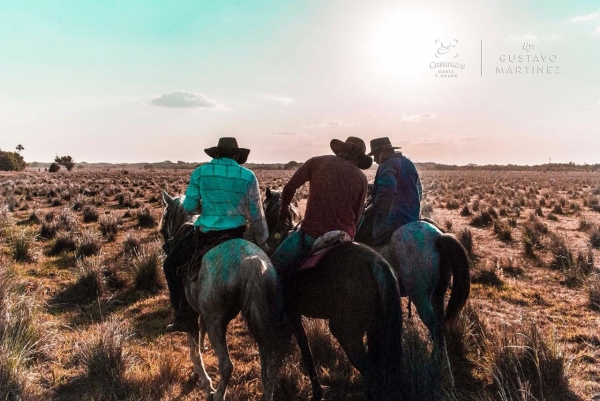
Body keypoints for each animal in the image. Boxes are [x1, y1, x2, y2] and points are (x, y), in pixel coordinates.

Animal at [159, 191, 290, 400]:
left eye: (164, 218)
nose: (165, 245)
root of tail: (250, 262)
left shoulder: (192, 314)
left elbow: (194, 349)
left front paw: (205, 381)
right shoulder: (201, 312)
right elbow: (200, 336)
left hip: (216, 322)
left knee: (227, 366)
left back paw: (218, 394)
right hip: (262, 319)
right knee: (269, 368)